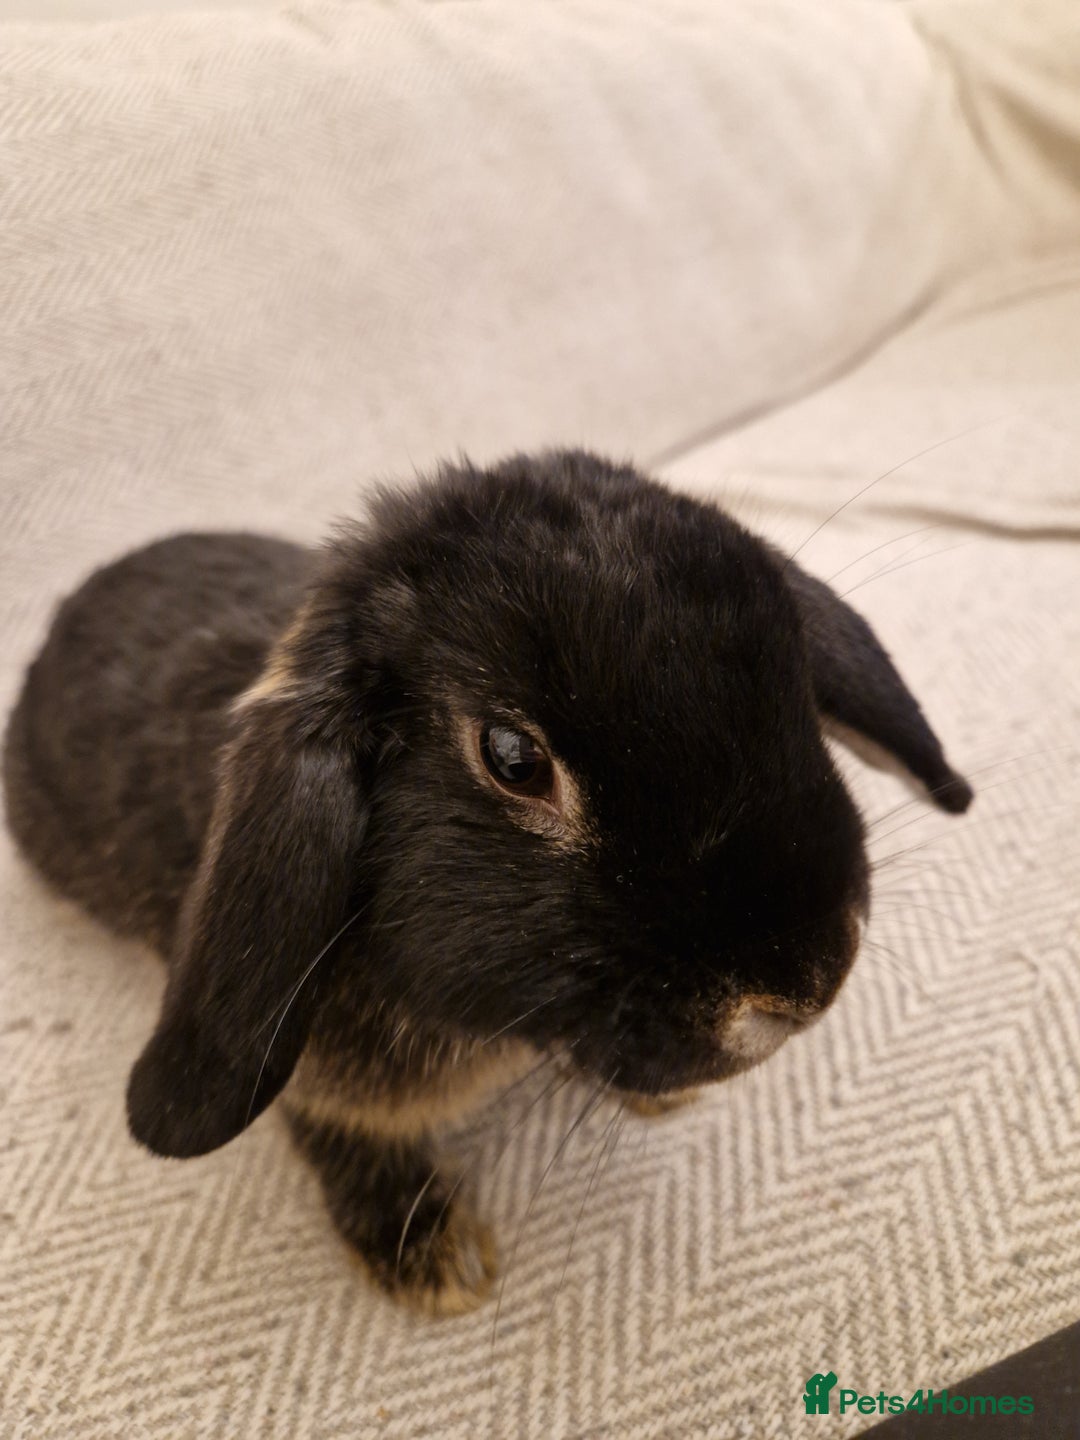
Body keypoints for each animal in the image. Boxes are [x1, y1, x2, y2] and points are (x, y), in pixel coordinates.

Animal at [2, 449, 973, 1315]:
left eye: (795, 676)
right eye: (513, 760)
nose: (809, 985)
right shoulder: (319, 1075)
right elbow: (342, 1130)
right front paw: (434, 1258)